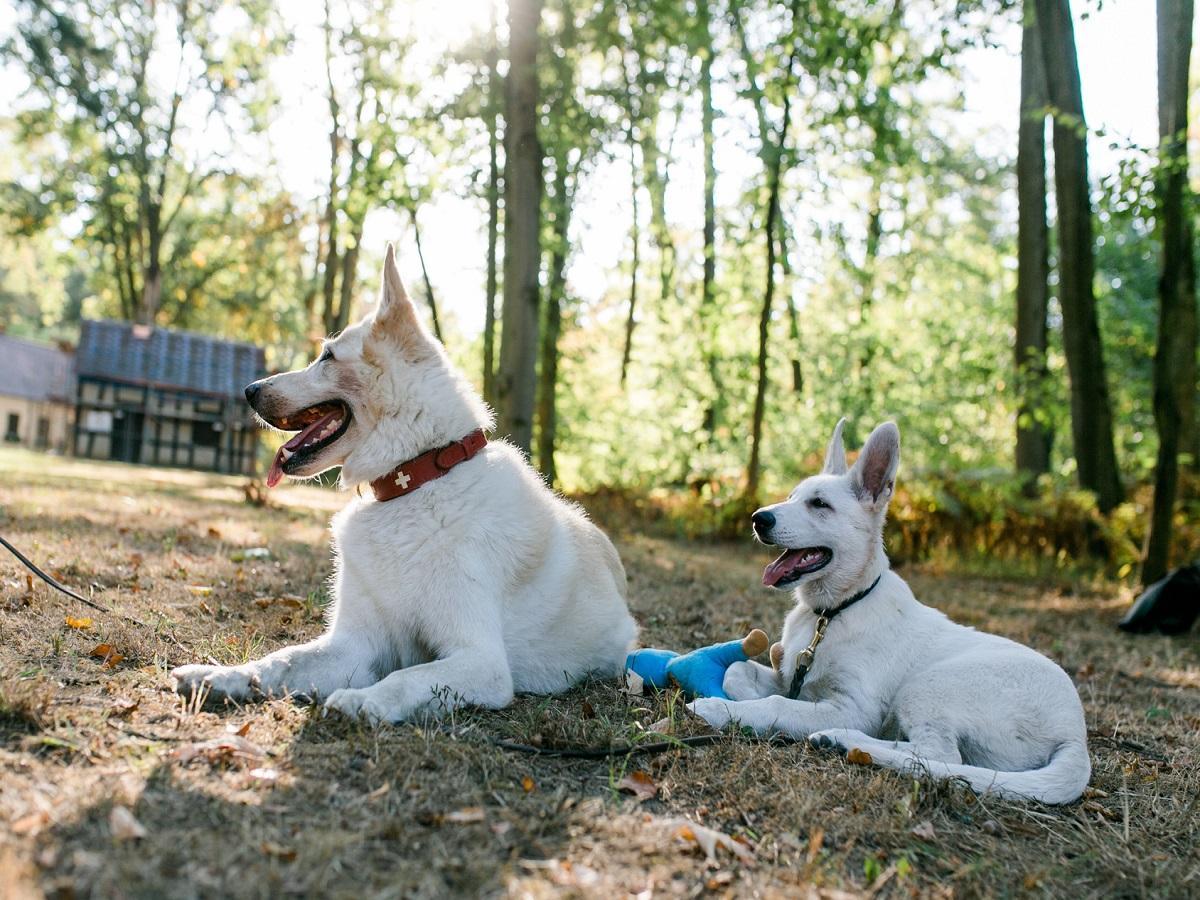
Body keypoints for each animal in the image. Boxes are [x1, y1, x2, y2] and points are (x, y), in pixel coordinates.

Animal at [171, 243, 638, 724]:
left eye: (327, 357)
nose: (249, 390)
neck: (414, 481)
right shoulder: (352, 647)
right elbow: (282, 659)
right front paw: (221, 676)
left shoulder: (480, 661)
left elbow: (405, 676)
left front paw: (363, 701)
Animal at [691, 422, 1094, 811]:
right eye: (791, 496)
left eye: (819, 504)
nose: (758, 519)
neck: (833, 613)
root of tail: (1075, 735)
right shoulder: (794, 678)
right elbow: (738, 671)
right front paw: (740, 696)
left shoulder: (854, 708)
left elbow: (775, 705)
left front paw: (719, 708)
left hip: (930, 686)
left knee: (940, 756)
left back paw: (844, 740)